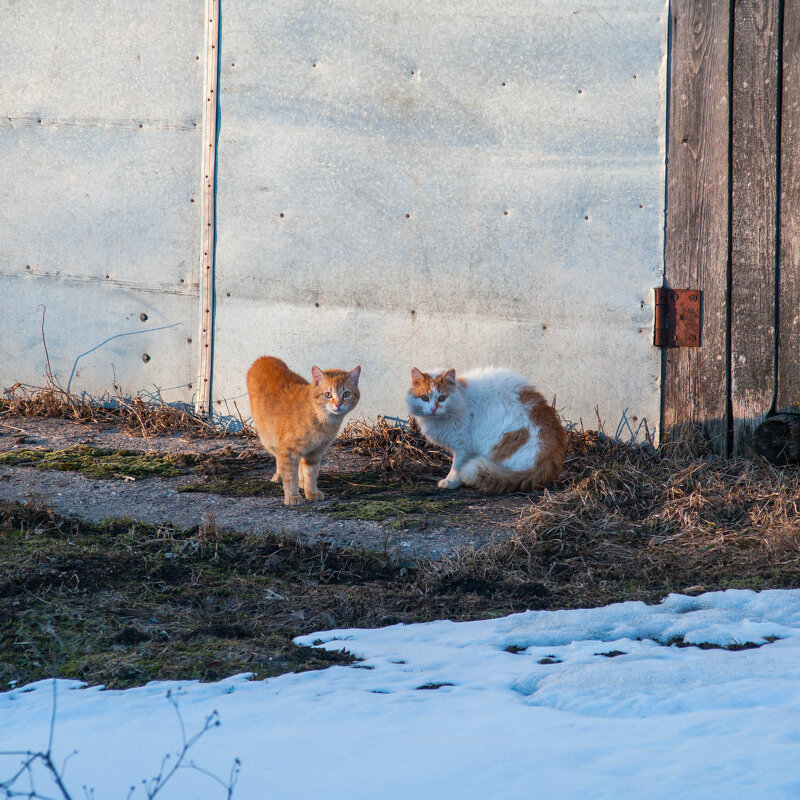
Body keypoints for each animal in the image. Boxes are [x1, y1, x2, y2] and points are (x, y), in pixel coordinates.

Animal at [247, 358, 362, 506]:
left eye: (346, 394)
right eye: (328, 394)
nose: (338, 405)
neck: (320, 420)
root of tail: (264, 357)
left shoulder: (315, 452)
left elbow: (311, 474)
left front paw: (311, 492)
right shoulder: (288, 450)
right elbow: (290, 475)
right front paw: (292, 496)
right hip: (268, 438)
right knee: (279, 458)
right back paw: (280, 476)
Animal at [406, 368, 568, 494]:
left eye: (442, 398)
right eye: (424, 398)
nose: (433, 409)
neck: (462, 398)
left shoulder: (463, 446)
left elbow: (457, 466)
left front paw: (450, 481)